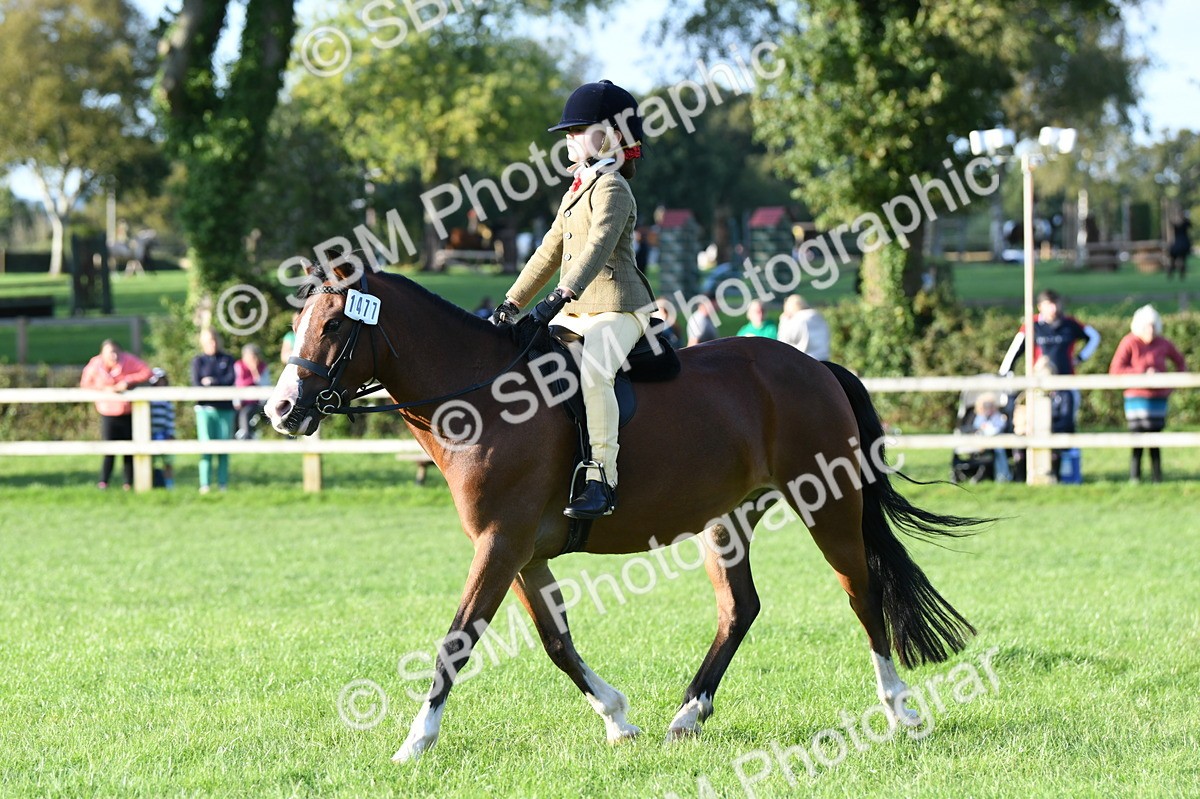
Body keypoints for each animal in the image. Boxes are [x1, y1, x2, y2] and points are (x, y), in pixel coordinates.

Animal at [264, 262, 983, 763]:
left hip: (828, 502)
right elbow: (557, 642)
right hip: (727, 519)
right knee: (740, 607)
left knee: (862, 592)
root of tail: (813, 364)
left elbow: (457, 640)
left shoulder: (500, 544)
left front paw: (416, 739)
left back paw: (900, 712)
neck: (484, 398)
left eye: (334, 324)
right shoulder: (521, 553)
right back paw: (687, 714)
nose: (281, 410)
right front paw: (617, 717)